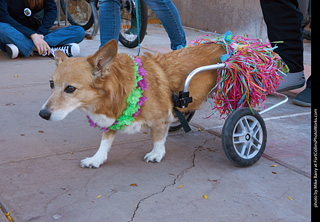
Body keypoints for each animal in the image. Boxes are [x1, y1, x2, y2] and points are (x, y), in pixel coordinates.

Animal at [39, 40, 225, 168]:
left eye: (70, 88)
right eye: (51, 84)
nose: (42, 114)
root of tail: (223, 45)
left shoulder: (160, 120)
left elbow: (157, 138)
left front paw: (156, 154)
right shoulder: (112, 120)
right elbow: (105, 142)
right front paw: (96, 159)